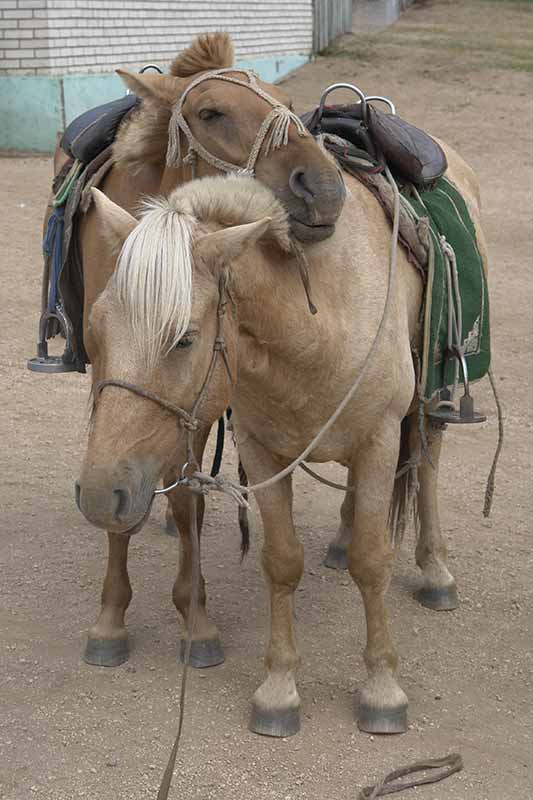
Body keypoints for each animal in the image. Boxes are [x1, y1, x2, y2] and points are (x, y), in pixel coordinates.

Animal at [76, 150, 488, 735]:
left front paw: (382, 690)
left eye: (185, 338)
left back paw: (435, 572)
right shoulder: (261, 449)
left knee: (427, 466)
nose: (96, 495)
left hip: (432, 400)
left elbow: (373, 561)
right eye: (96, 328)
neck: (316, 323)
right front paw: (279, 689)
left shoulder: (380, 438)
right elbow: (282, 561)